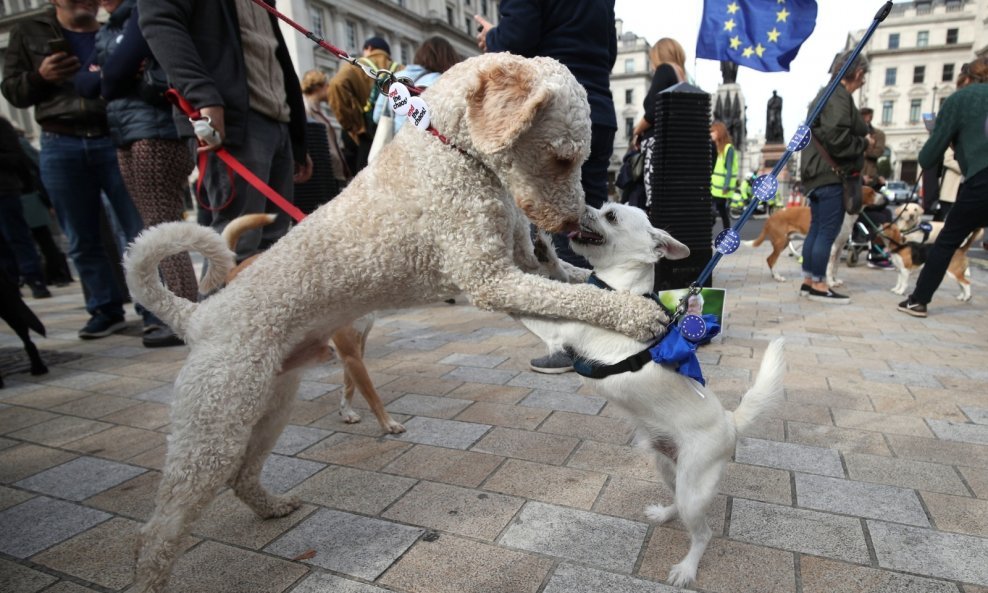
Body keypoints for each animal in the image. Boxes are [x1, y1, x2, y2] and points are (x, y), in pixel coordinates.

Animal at [225, 214, 406, 434]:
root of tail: (235, 268)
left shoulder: (356, 347)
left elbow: (350, 385)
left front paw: (346, 412)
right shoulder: (350, 352)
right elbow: (372, 394)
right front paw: (388, 423)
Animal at [516, 204, 788, 588]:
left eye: (610, 216)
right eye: (601, 206)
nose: (585, 207)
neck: (617, 288)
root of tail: (731, 422)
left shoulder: (558, 330)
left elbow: (529, 304)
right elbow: (561, 277)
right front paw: (543, 251)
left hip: (694, 486)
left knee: (703, 533)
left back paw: (687, 568)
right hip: (666, 464)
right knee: (675, 500)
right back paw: (664, 513)